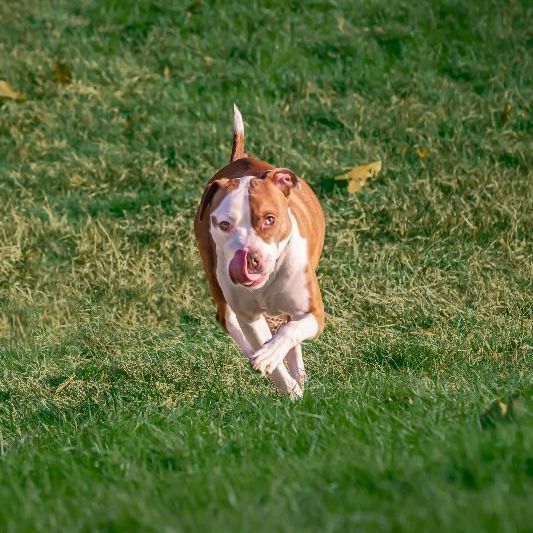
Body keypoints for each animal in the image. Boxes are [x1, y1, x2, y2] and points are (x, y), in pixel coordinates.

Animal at [192, 106, 324, 396]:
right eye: (224, 224)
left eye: (269, 219)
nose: (249, 257)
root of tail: (241, 157)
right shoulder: (250, 317)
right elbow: (268, 350)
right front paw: (289, 389)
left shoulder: (315, 315)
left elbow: (290, 332)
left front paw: (277, 358)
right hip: (216, 281)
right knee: (229, 320)